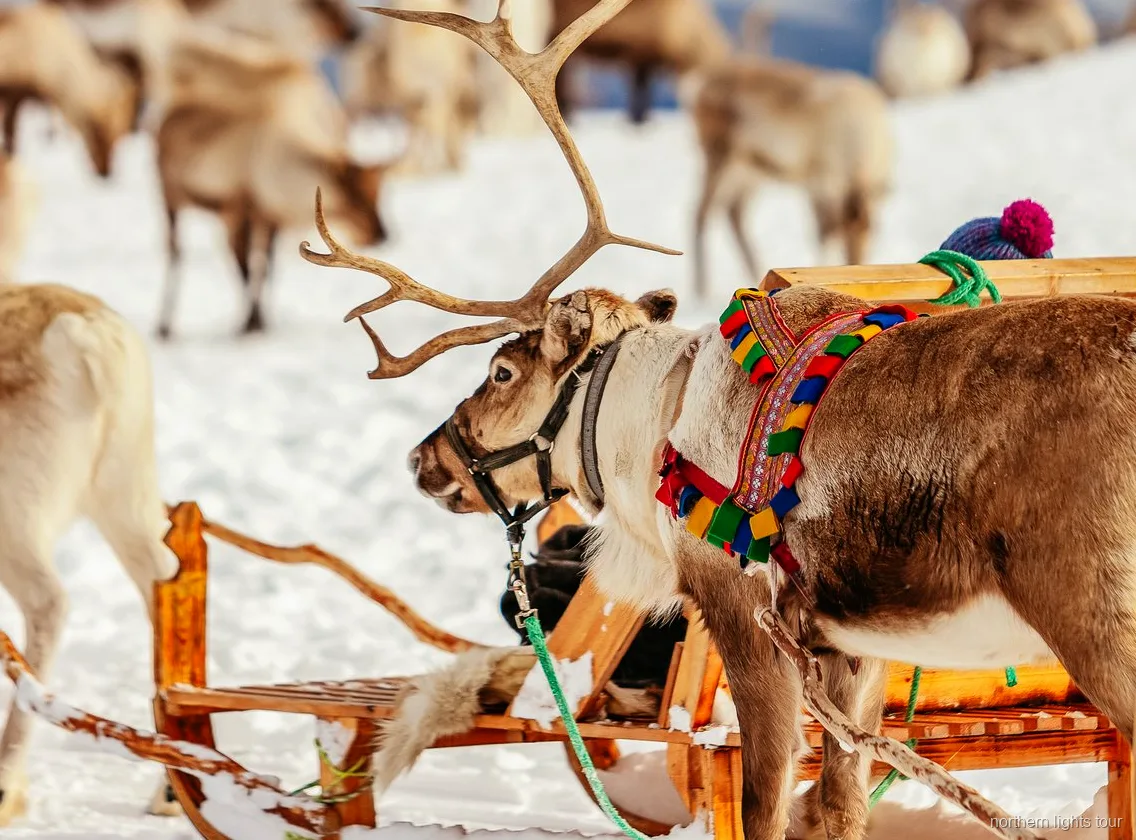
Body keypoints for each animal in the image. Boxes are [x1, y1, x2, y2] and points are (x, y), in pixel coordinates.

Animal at [0, 283, 179, 827]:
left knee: (49, 604)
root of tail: (87, 333)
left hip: (16, 521)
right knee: (167, 589)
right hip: (128, 498)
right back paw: (171, 789)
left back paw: (6, 785)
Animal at [155, 34, 388, 337]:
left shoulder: (269, 217)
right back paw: (164, 324)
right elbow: (244, 269)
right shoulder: (238, 211)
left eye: (378, 194)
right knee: (175, 252)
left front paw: (262, 320)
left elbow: (266, 269)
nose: (383, 234)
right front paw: (249, 322)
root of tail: (166, 116)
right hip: (168, 196)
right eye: (355, 197)